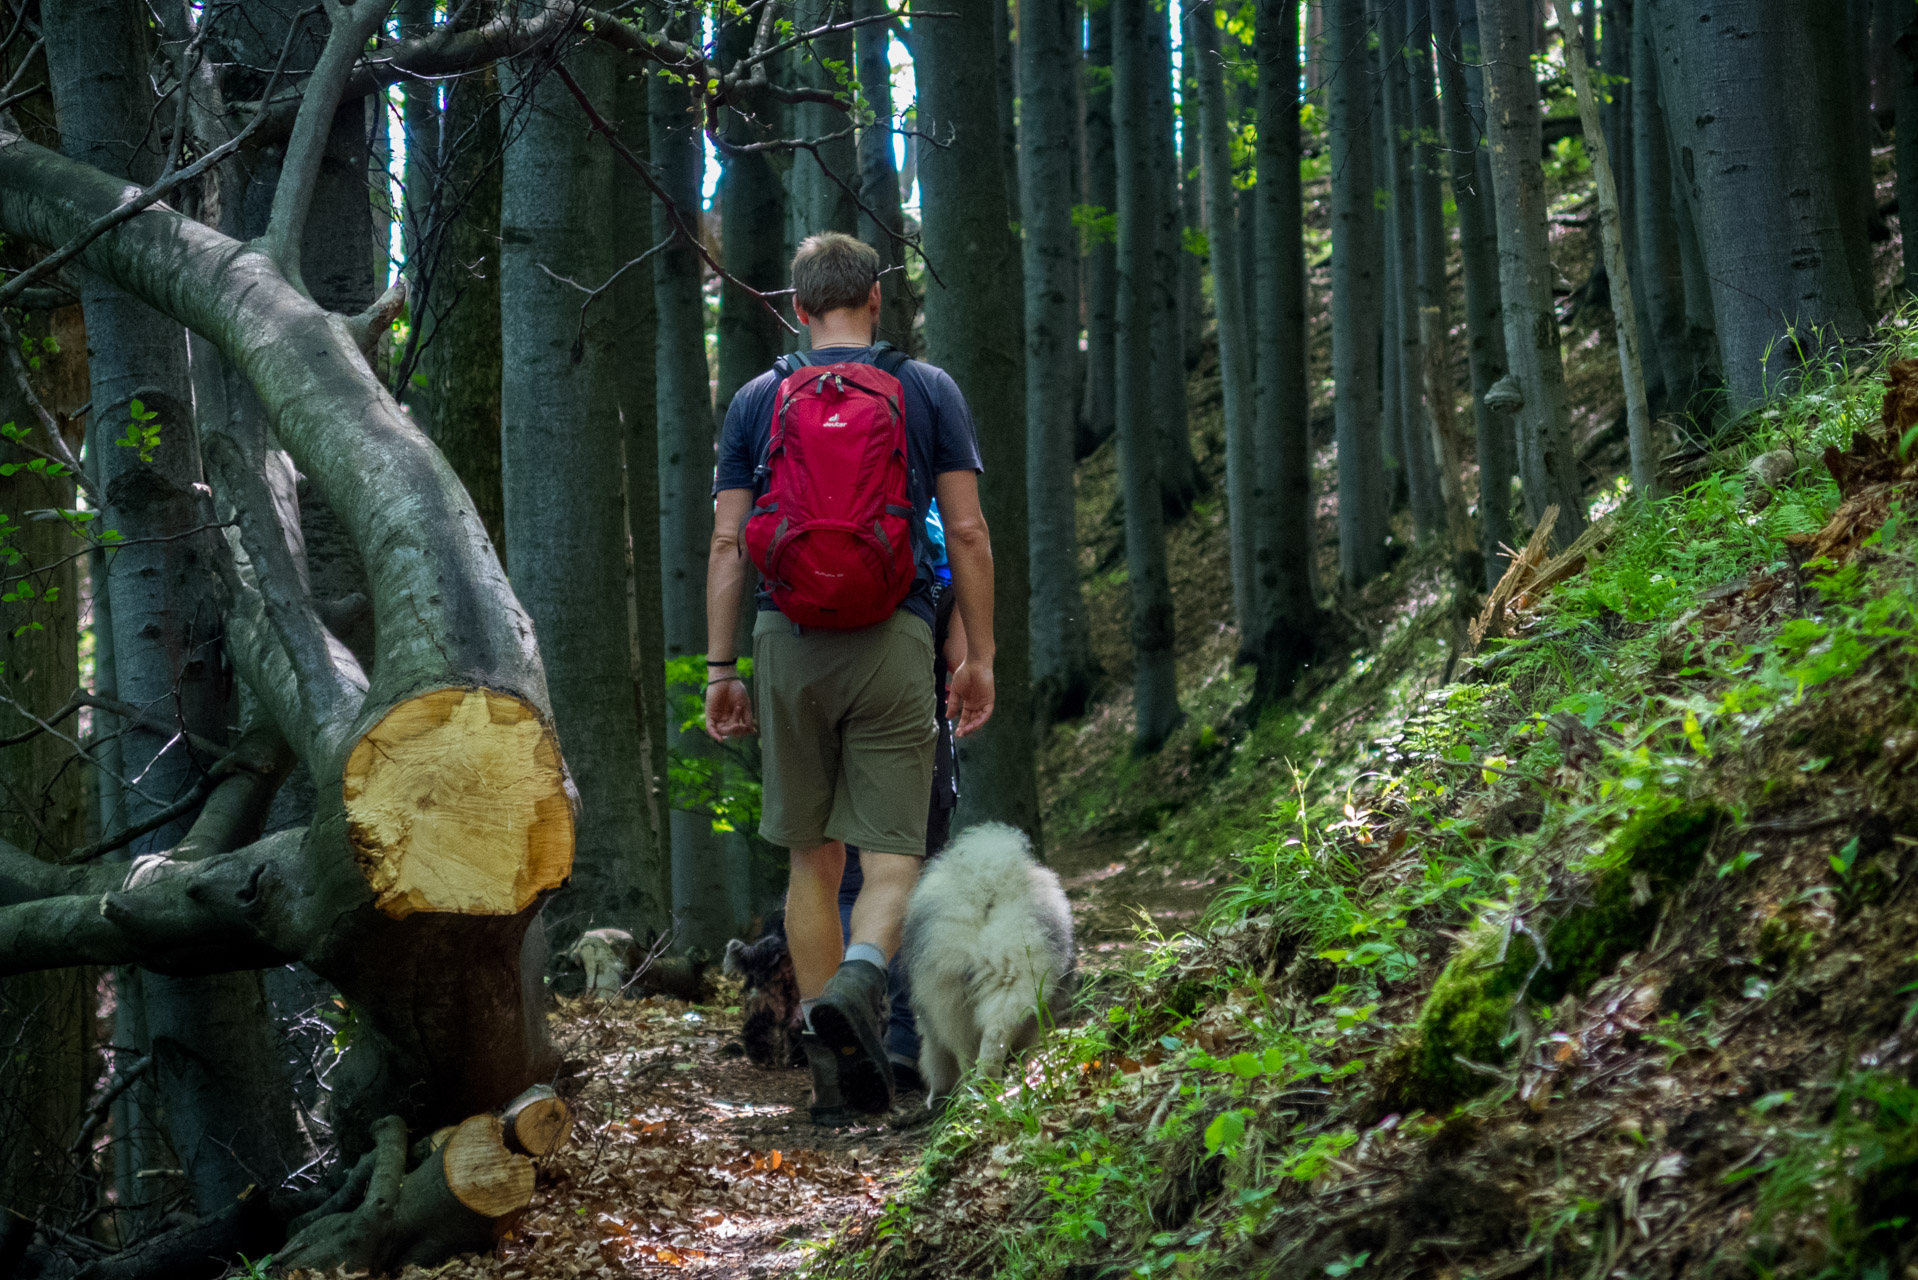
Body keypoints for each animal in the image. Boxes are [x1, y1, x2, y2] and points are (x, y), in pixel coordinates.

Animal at [901, 825, 1081, 1105]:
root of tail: (988, 888)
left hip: (950, 1001)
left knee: (968, 1051)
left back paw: (974, 1093)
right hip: (1014, 975)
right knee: (995, 1036)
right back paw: (988, 1091)